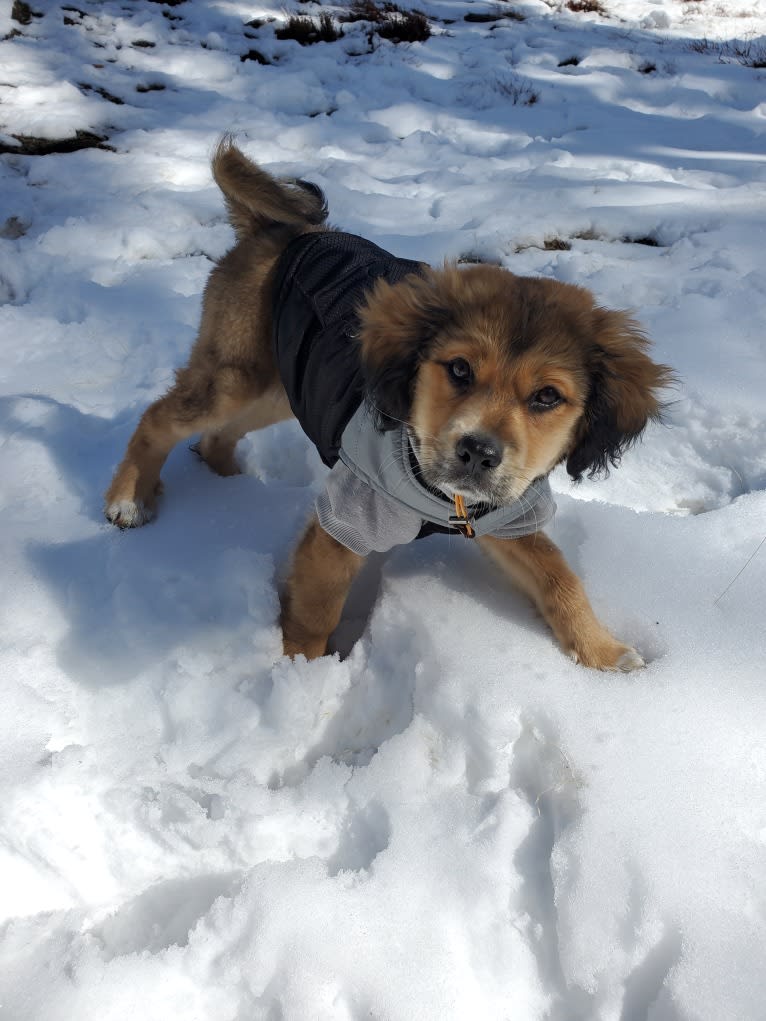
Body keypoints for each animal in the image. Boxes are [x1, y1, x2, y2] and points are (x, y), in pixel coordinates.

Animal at [106, 141, 669, 669]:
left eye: (547, 396)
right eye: (459, 369)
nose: (478, 453)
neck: (446, 500)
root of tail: (278, 230)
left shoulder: (506, 517)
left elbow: (559, 576)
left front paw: (605, 654)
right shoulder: (345, 525)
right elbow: (315, 612)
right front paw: (300, 678)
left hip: (283, 386)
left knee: (218, 435)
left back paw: (230, 488)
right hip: (237, 375)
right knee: (159, 418)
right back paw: (128, 499)